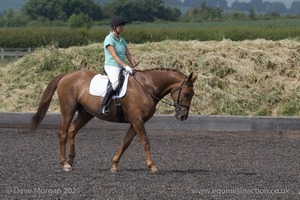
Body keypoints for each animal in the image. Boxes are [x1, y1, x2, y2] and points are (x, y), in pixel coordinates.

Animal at [31, 68, 197, 173]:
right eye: (187, 94)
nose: (183, 116)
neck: (147, 87)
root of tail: (66, 75)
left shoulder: (135, 122)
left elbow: (126, 142)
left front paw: (114, 165)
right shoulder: (137, 121)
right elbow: (145, 142)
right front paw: (152, 166)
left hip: (86, 114)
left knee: (72, 130)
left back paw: (71, 161)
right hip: (68, 110)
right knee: (63, 133)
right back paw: (65, 164)